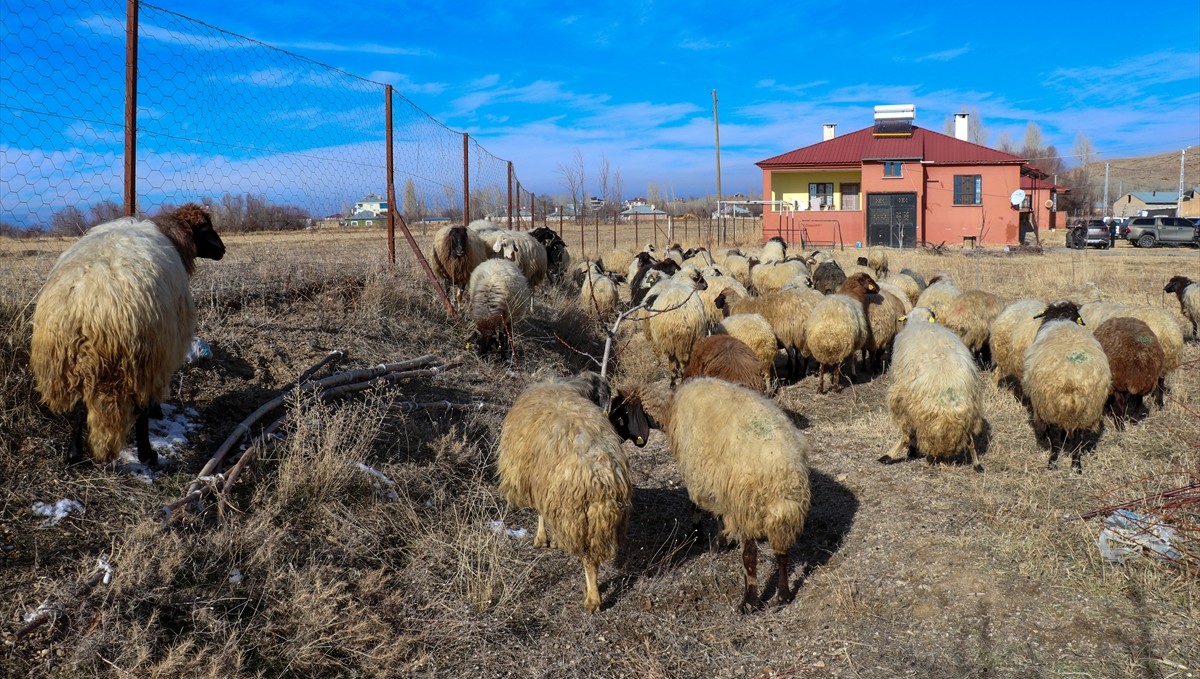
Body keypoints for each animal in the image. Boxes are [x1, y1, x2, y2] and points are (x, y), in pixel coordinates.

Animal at [30, 202, 225, 467]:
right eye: (205, 229)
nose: (222, 250)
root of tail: (92, 305)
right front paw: (157, 411)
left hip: (72, 360)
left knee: (80, 407)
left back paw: (73, 453)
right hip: (141, 359)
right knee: (140, 408)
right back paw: (147, 454)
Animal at [496, 383, 633, 619]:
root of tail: (600, 474)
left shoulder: (540, 483)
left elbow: (540, 512)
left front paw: (542, 538)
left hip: (577, 512)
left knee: (589, 561)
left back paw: (593, 599)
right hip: (599, 519)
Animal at [624, 381, 811, 614]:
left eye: (622, 412)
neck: (670, 409)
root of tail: (782, 470)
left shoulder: (702, 475)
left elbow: (697, 505)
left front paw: (701, 535)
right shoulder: (718, 483)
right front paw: (720, 540)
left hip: (745, 506)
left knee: (750, 557)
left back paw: (749, 601)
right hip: (783, 514)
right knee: (782, 554)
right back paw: (782, 597)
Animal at [883, 309, 984, 472]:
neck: (920, 321)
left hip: (907, 403)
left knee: (907, 433)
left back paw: (889, 456)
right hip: (970, 409)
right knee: (970, 439)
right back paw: (977, 464)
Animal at [1022, 303, 1113, 472]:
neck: (1062, 317)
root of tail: (1071, 376)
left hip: (1050, 404)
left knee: (1056, 437)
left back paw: (1052, 463)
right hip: (1086, 408)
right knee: (1078, 438)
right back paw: (1076, 466)